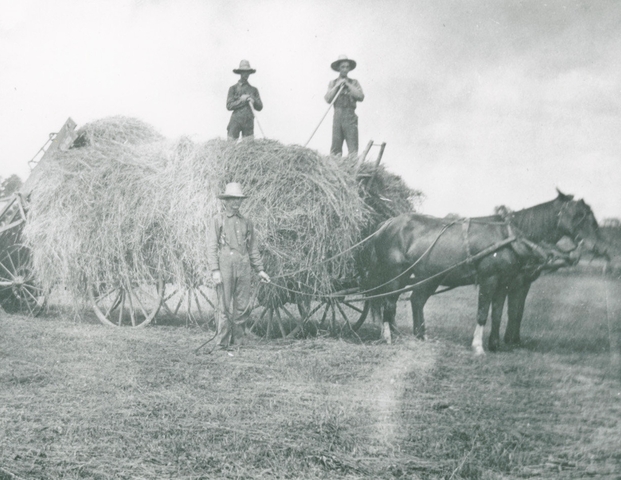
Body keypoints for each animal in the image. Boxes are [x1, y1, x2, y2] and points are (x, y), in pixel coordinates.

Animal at [366, 189, 608, 354]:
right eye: (579, 215)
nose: (600, 247)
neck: (510, 237)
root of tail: (386, 224)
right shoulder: (490, 280)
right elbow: (484, 312)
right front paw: (478, 346)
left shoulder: (505, 283)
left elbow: (501, 313)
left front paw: (497, 344)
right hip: (396, 275)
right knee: (388, 303)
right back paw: (389, 337)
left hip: (426, 278)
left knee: (414, 300)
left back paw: (415, 337)